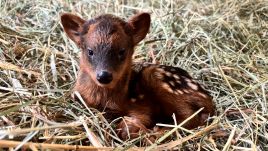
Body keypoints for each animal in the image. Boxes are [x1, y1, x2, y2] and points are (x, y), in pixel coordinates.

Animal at [60, 12, 214, 140]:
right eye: (90, 51)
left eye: (122, 51)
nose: (104, 76)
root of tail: (208, 98)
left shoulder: (141, 106)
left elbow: (139, 120)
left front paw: (128, 129)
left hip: (157, 77)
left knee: (191, 116)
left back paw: (157, 131)